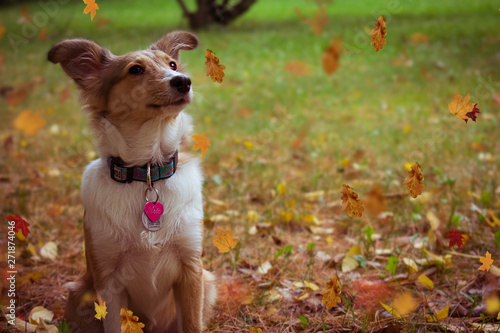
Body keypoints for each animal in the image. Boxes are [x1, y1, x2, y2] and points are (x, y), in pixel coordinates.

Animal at [47, 31, 217, 332]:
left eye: (172, 64)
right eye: (135, 70)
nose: (183, 81)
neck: (146, 173)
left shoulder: (192, 270)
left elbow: (192, 324)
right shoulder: (108, 283)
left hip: (207, 283)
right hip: (80, 293)